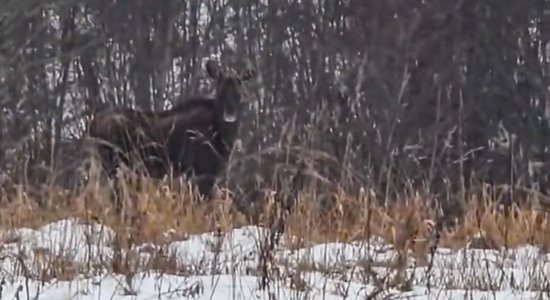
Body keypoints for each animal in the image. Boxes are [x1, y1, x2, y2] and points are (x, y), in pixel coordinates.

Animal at [87, 59, 258, 202]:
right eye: (220, 91)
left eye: (239, 93)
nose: (230, 115)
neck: (222, 136)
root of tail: (93, 125)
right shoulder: (202, 172)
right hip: (114, 164)